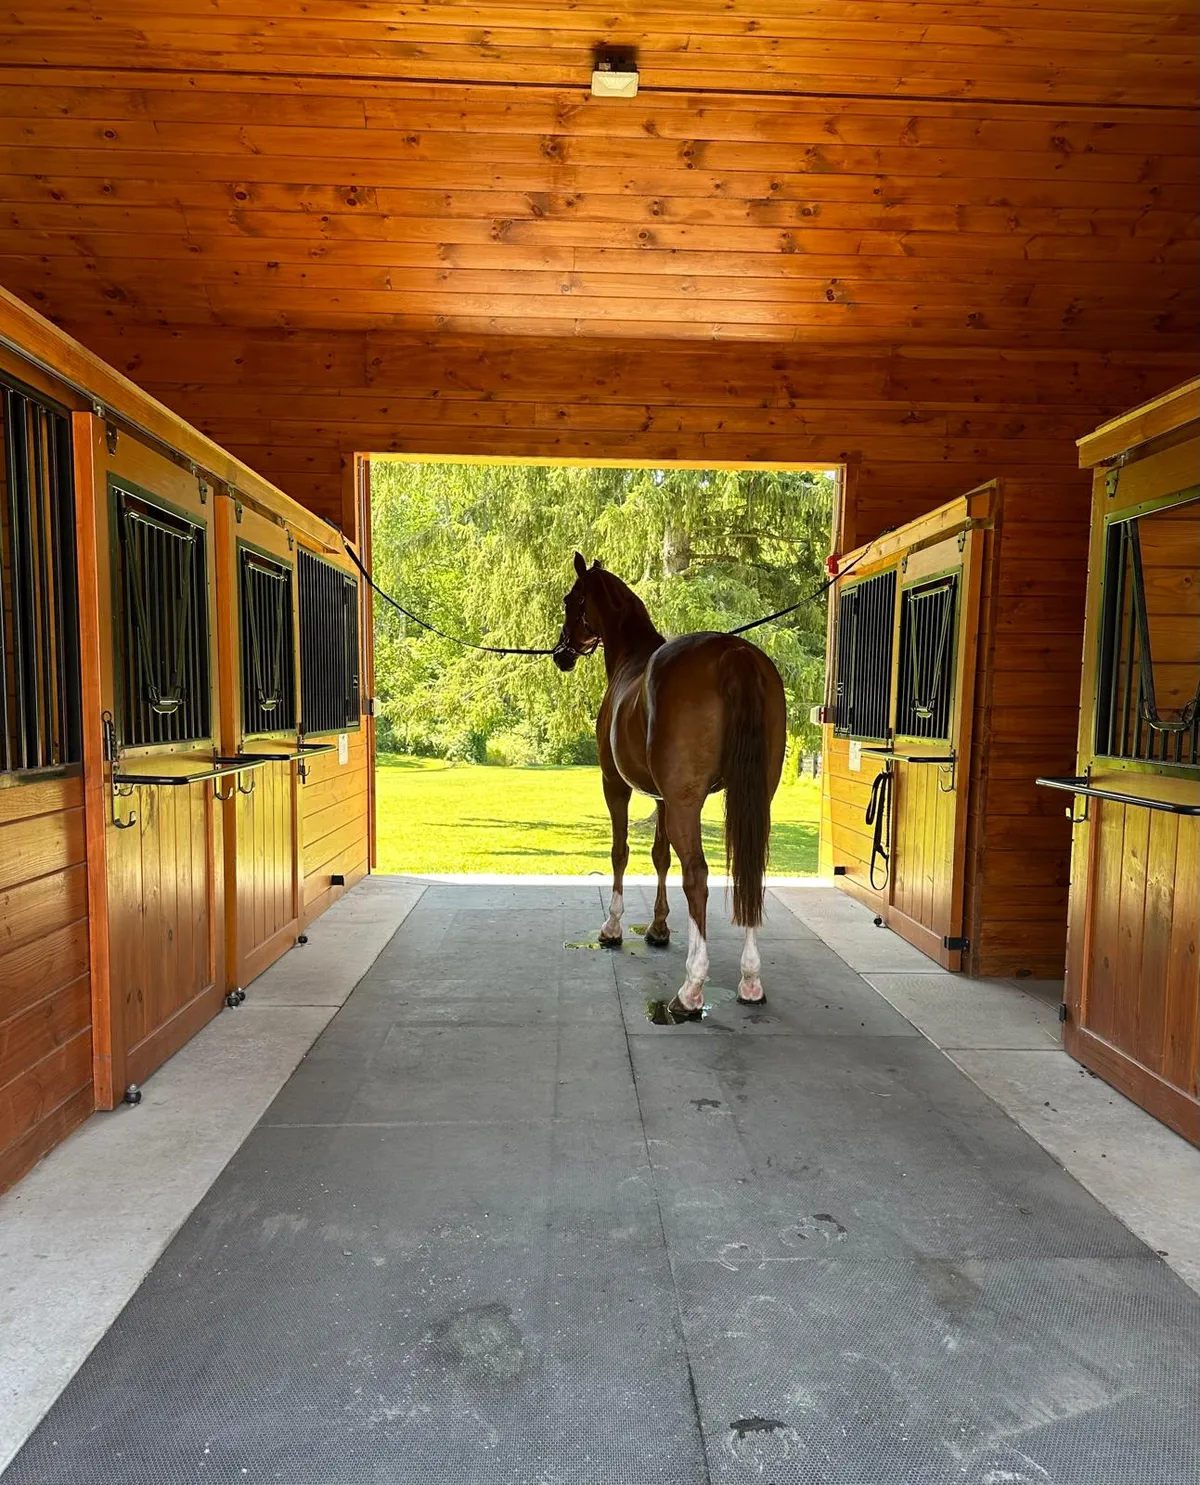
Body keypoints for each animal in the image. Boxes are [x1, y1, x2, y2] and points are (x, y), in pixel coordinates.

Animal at [553, 553, 788, 1017]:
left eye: (572, 600)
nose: (561, 654)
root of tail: (735, 654)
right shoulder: (661, 796)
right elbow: (660, 856)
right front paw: (659, 928)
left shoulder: (617, 785)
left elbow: (621, 852)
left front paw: (612, 927)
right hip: (754, 800)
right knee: (750, 872)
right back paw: (750, 980)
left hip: (686, 803)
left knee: (697, 875)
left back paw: (692, 987)